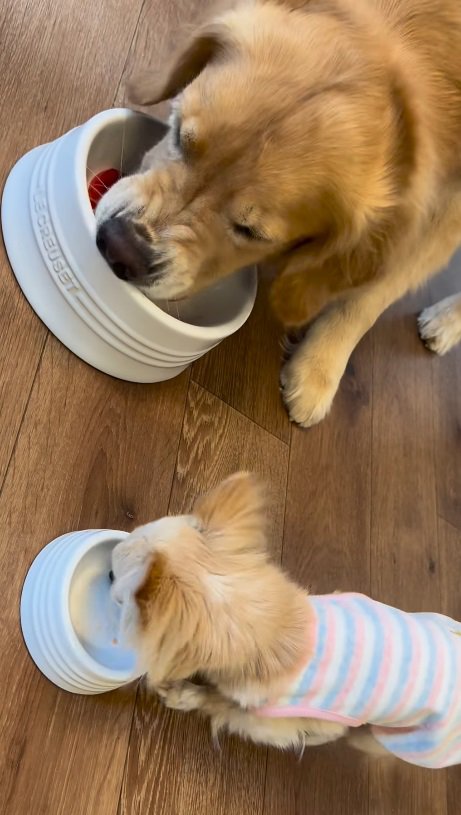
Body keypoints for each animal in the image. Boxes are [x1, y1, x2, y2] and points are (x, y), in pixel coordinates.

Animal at [96, 0, 460, 430]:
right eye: (179, 135)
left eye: (249, 231)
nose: (121, 247)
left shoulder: (440, 218)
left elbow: (371, 294)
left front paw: (318, 369)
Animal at [110, 474, 461, 768]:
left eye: (116, 579)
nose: (109, 563)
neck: (274, 629)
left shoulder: (281, 723)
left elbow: (228, 708)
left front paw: (184, 694)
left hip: (417, 742)